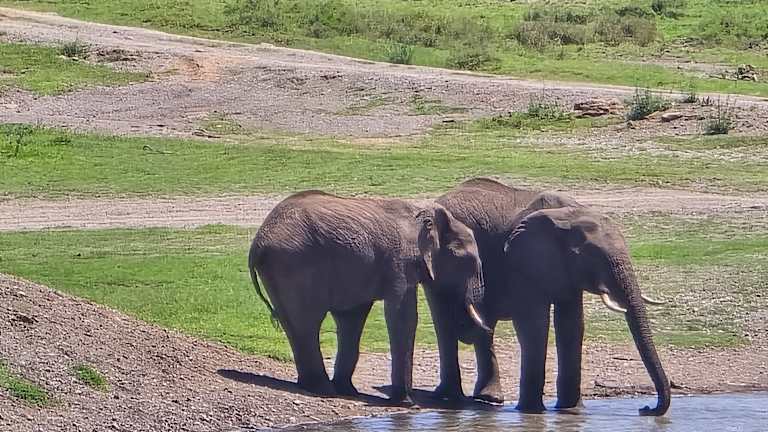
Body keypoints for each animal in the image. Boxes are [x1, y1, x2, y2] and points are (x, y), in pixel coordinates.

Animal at [248, 190, 488, 403]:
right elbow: (403, 317)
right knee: (307, 323)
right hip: (294, 263)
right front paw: (405, 403)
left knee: (295, 325)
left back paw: (320, 387)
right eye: (468, 261)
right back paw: (323, 389)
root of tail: (257, 243)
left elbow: (353, 317)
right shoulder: (400, 262)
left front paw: (349, 391)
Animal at [426, 178, 671, 416]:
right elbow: (534, 324)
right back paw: (450, 396)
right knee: (443, 321)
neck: (568, 216)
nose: (645, 409)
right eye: (594, 256)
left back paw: (488, 398)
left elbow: (571, 324)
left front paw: (571, 410)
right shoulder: (524, 261)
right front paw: (531, 411)